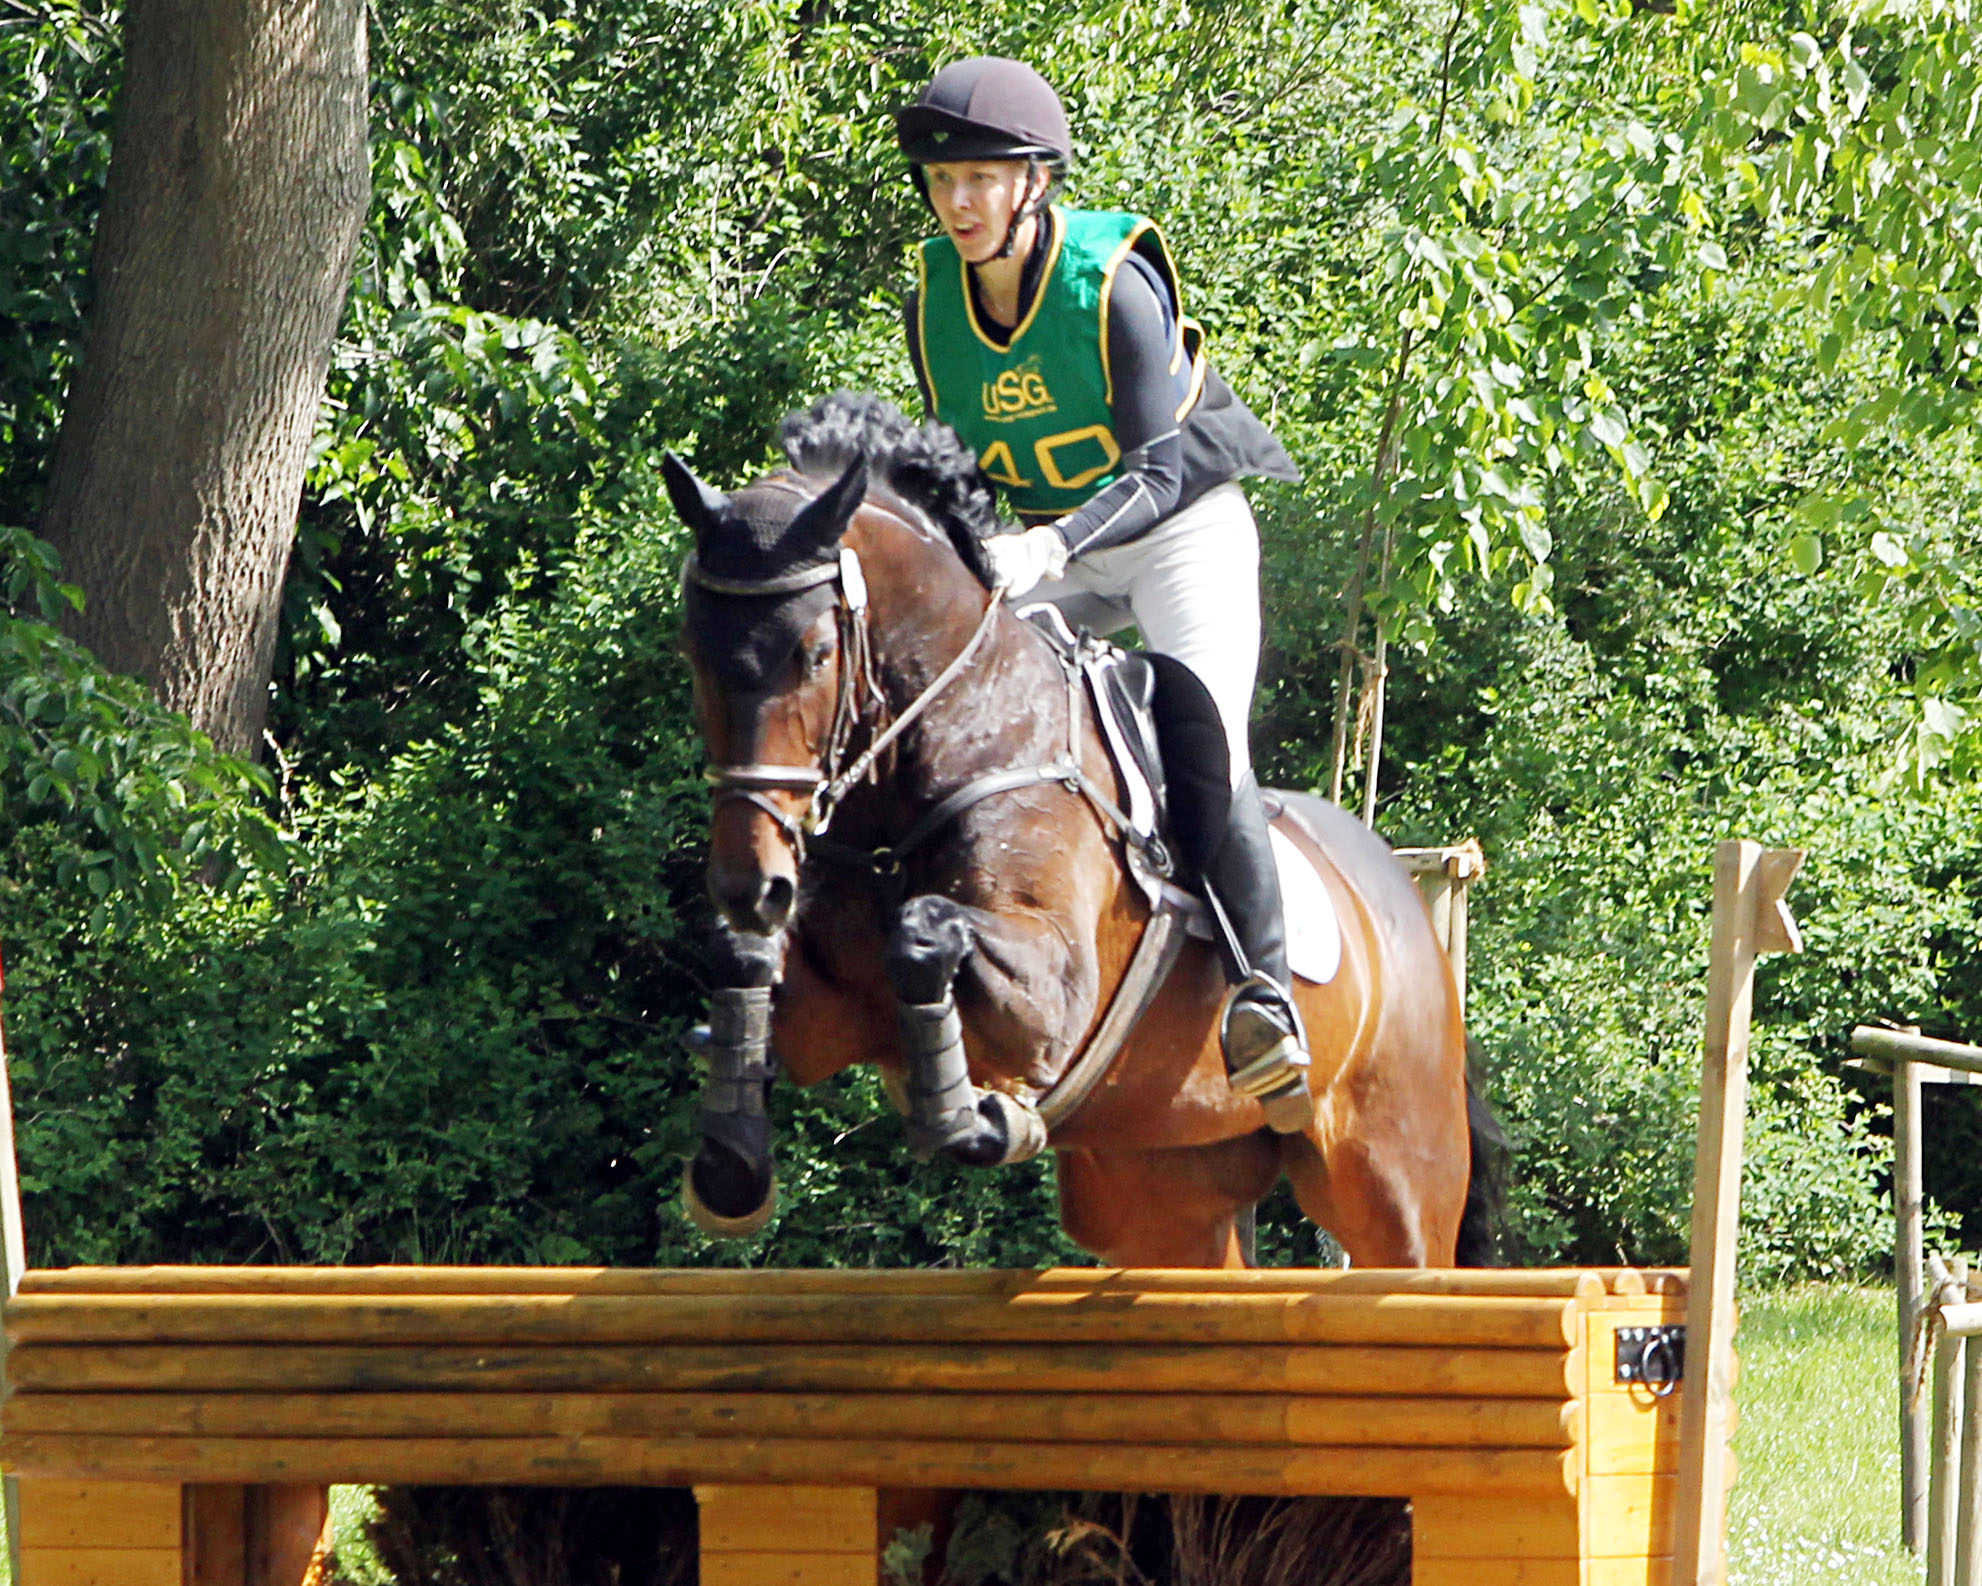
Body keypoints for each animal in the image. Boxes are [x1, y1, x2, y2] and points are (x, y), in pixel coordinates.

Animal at [658, 390, 1490, 1268]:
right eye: (691, 651)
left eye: (814, 653)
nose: (750, 884)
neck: (960, 732)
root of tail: (1404, 898)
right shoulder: (832, 1014)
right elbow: (751, 962)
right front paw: (731, 1160)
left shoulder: (1053, 993)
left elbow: (923, 933)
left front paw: (968, 1115)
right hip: (1164, 1189)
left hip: (1396, 1184)